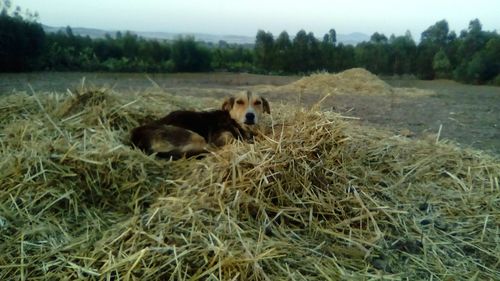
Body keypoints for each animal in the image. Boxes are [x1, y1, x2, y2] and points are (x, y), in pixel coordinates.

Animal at [129, 91, 270, 159]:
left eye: (258, 103)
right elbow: (230, 138)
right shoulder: (220, 137)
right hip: (194, 136)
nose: (250, 116)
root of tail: (135, 139)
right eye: (239, 102)